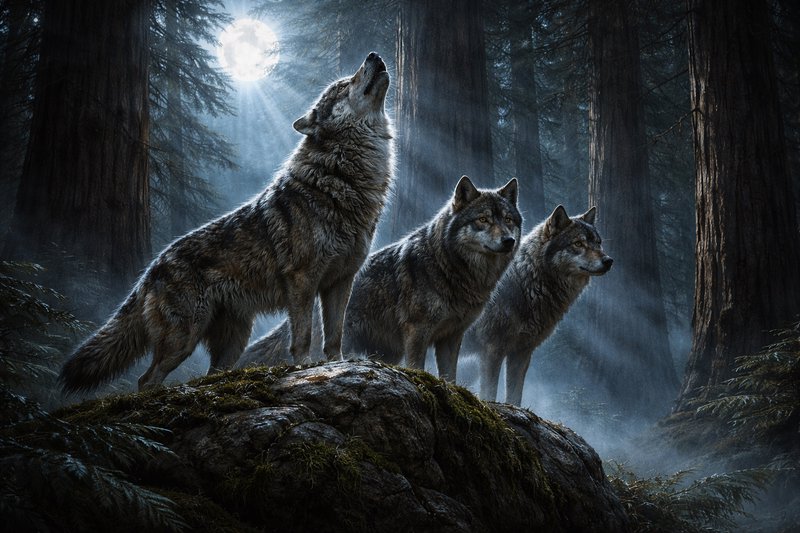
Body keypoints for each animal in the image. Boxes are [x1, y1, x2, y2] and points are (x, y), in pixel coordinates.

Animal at [60, 52, 394, 392]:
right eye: (343, 85)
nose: (374, 55)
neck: (342, 177)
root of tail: (151, 270)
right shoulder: (302, 281)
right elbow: (303, 336)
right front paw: (306, 368)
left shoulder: (341, 281)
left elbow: (334, 336)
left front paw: (337, 365)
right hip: (183, 340)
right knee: (145, 380)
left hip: (232, 343)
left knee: (210, 374)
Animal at [238, 176, 521, 382]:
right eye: (483, 219)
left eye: (508, 219)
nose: (509, 241)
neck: (452, 269)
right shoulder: (417, 331)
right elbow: (418, 366)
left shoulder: (452, 336)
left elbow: (450, 377)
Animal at [465, 205, 612, 406]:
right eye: (578, 244)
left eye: (598, 243)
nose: (608, 261)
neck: (526, 282)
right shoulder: (492, 349)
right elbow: (489, 393)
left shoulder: (522, 352)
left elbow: (515, 396)